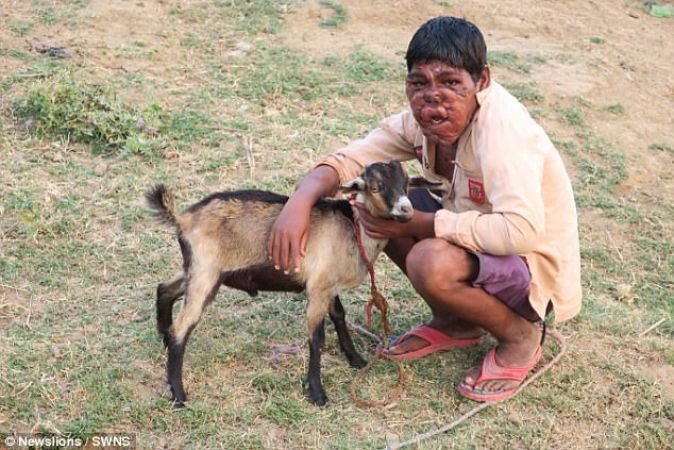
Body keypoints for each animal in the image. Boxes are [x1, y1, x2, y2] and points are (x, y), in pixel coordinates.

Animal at [146, 160, 430, 406]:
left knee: (165, 289)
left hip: (199, 270)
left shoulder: (326, 283)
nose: (406, 210)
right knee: (182, 328)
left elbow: (339, 315)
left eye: (406, 183)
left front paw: (356, 360)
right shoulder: (318, 289)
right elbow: (316, 338)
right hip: (206, 273)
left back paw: (163, 339)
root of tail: (182, 219)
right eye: (376, 186)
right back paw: (178, 394)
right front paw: (317, 393)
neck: (353, 227)